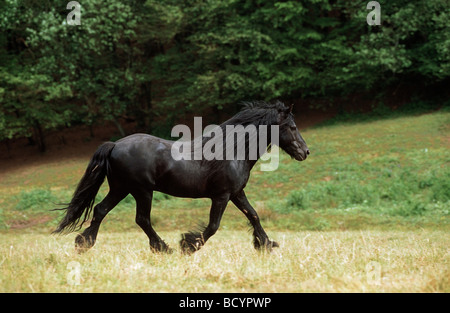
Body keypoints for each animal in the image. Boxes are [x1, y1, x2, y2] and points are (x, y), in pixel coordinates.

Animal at [51, 101, 306, 252]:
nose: (305, 151)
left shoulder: (237, 193)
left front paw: (267, 244)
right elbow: (213, 226)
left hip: (120, 189)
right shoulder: (222, 196)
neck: (232, 151)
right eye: (292, 127)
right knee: (142, 219)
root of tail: (114, 145)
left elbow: (253, 215)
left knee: (100, 210)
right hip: (141, 191)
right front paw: (188, 245)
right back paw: (163, 248)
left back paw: (84, 243)